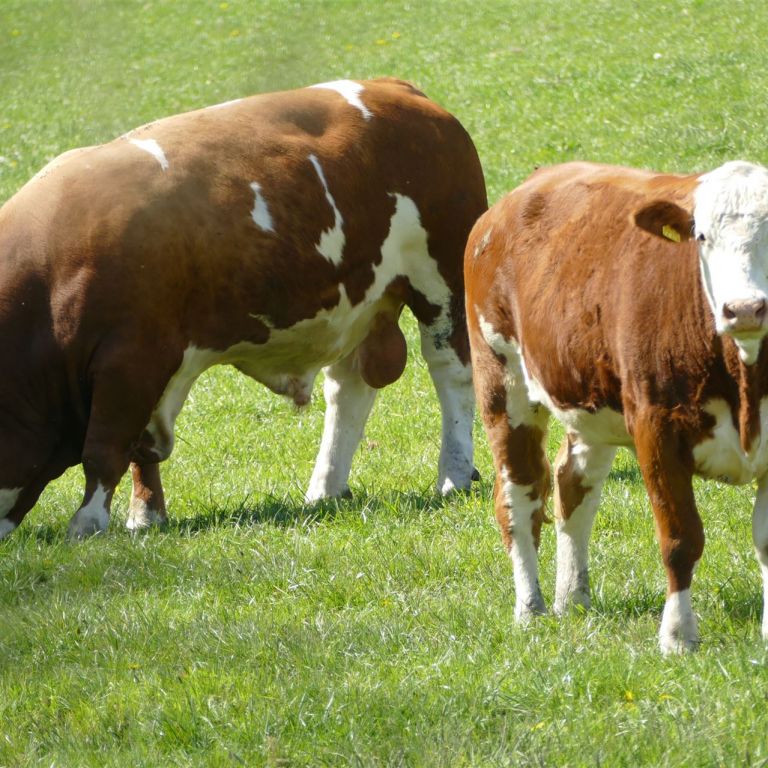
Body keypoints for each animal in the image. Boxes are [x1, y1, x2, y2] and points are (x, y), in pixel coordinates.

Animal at [0, 78, 487, 540]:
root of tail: (397, 89)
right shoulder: (149, 370)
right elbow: (141, 448)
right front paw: (145, 517)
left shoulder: (132, 359)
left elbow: (104, 448)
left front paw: (88, 523)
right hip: (358, 302)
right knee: (348, 386)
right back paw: (326, 488)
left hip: (442, 276)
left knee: (451, 371)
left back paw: (454, 474)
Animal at [465, 160, 768, 653]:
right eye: (702, 236)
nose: (744, 309)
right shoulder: (656, 430)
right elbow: (680, 538)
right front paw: (677, 636)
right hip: (500, 381)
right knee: (519, 496)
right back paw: (530, 608)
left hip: (589, 402)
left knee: (571, 485)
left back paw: (573, 597)